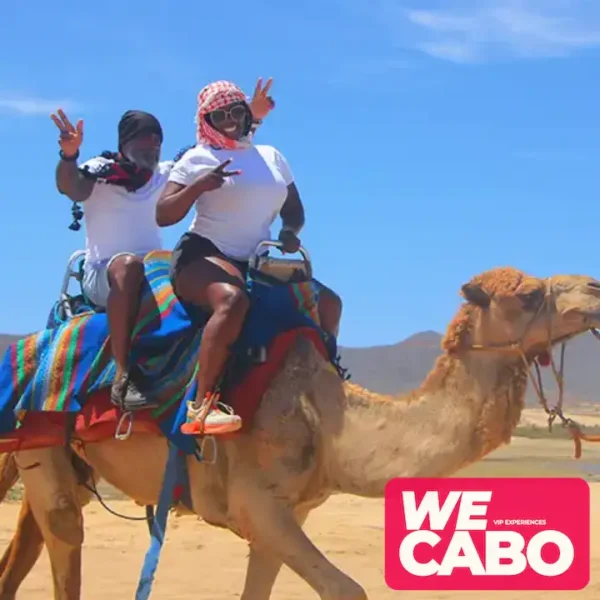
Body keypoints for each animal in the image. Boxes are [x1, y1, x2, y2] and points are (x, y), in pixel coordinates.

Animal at [0, 268, 600, 600]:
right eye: (527, 295)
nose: (595, 288)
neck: (332, 423)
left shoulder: (289, 513)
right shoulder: (257, 504)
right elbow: (347, 589)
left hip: (64, 456)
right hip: (42, 440)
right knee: (64, 533)